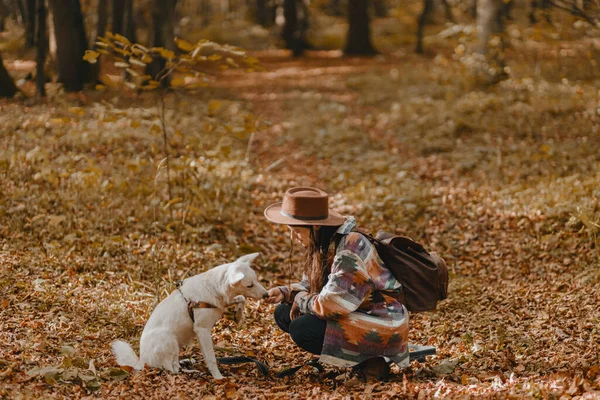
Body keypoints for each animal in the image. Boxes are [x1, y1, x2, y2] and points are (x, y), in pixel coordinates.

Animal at [110, 252, 270, 380]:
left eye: (256, 280)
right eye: (249, 285)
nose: (266, 295)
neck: (214, 288)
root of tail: (141, 359)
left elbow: (241, 298)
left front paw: (239, 314)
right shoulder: (202, 330)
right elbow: (211, 358)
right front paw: (218, 377)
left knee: (173, 363)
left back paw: (186, 363)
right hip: (168, 338)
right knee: (171, 369)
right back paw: (191, 371)